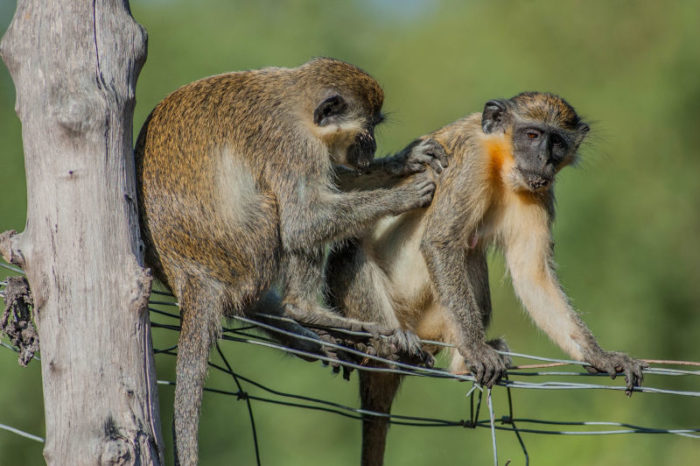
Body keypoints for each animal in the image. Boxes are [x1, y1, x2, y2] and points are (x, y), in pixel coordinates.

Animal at [134, 57, 440, 462]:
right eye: (367, 130)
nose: (372, 146)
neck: (297, 102)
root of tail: (191, 275)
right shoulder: (293, 146)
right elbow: (302, 222)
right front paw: (401, 196)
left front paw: (405, 161)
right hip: (245, 248)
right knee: (281, 214)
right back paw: (305, 311)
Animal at [326, 92, 648, 466]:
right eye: (532, 135)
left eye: (556, 142)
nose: (543, 160)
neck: (500, 157)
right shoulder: (470, 162)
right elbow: (441, 241)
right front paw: (476, 349)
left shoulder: (537, 191)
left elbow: (532, 275)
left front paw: (598, 355)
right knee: (351, 250)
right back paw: (396, 347)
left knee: (472, 252)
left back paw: (460, 363)